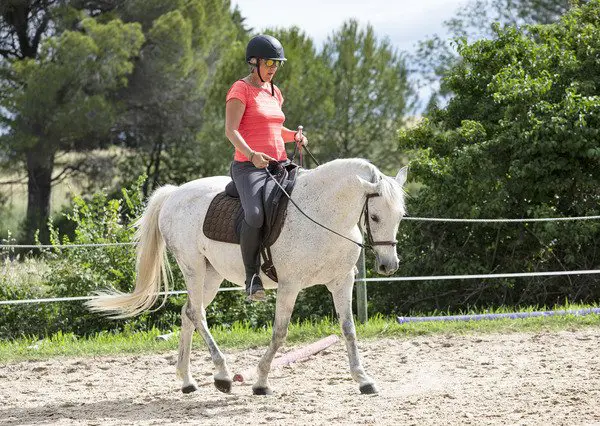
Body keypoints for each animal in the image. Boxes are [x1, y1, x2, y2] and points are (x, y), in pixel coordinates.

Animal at [88, 159, 408, 396]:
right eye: (375, 217)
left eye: (400, 216)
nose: (388, 266)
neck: (324, 214)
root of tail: (174, 193)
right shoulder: (290, 286)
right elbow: (280, 333)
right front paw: (261, 382)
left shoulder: (341, 282)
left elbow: (348, 330)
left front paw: (364, 380)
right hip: (192, 267)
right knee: (197, 314)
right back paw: (222, 375)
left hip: (211, 275)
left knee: (188, 313)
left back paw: (188, 381)